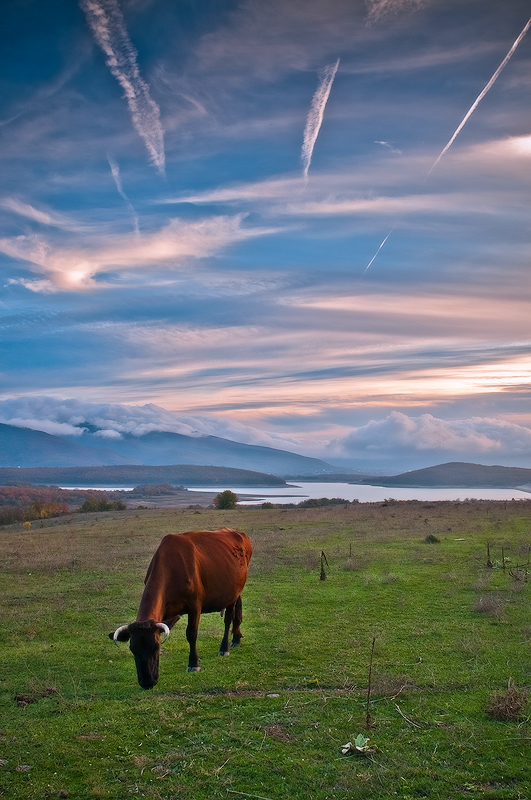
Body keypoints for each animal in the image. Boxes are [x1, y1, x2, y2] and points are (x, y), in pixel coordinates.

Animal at [109, 528, 252, 692]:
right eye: (133, 649)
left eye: (156, 647)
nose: (147, 682)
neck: (172, 568)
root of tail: (237, 532)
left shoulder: (195, 605)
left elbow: (191, 634)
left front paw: (193, 663)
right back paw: (236, 638)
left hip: (230, 595)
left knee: (229, 618)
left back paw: (224, 647)